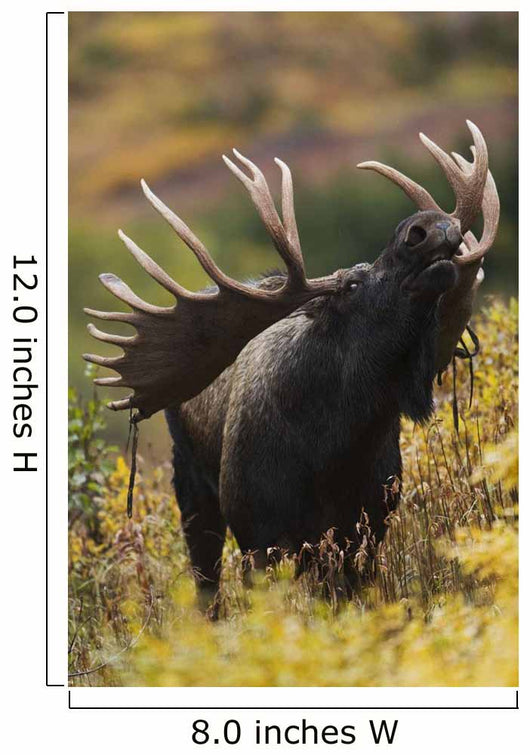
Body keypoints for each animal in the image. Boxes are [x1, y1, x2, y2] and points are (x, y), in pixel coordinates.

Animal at [84, 121, 499, 613]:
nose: (425, 227)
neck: (337, 446)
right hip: (191, 488)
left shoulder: (366, 529)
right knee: (207, 586)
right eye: (351, 285)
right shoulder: (259, 537)